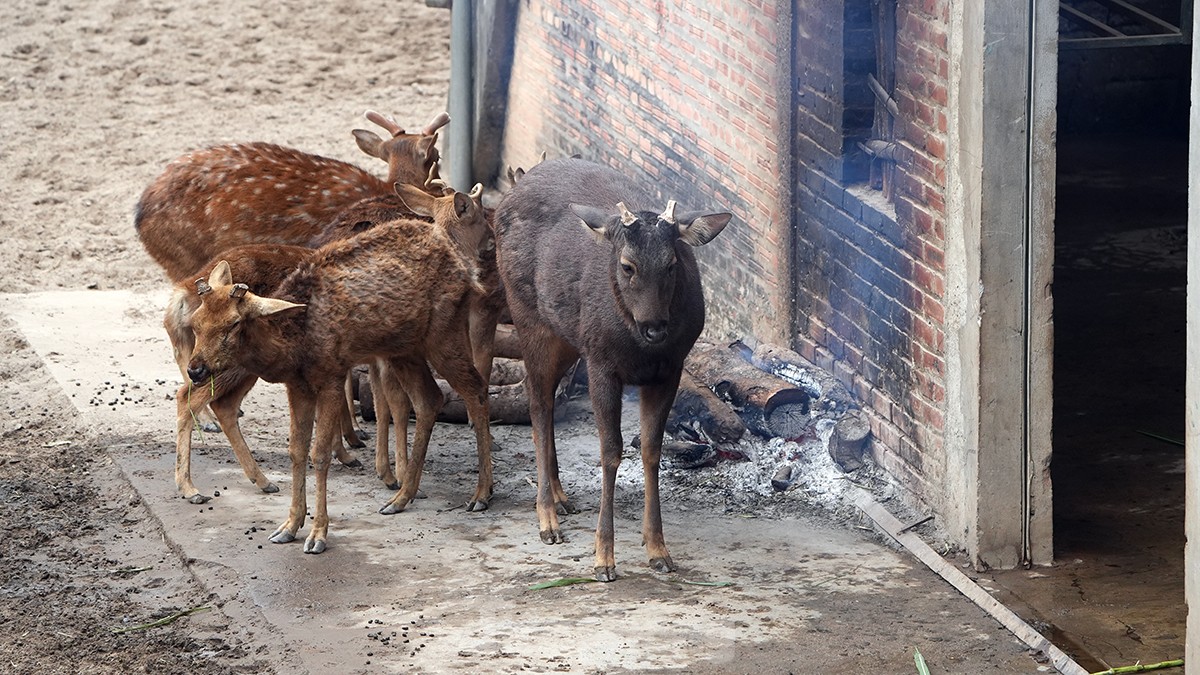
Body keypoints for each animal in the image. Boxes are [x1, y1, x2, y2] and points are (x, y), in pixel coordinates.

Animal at [186, 184, 492, 552]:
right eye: (196, 323)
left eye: (232, 324)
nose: (195, 369)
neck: (295, 345)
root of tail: (466, 269)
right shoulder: (297, 386)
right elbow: (296, 450)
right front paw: (288, 526)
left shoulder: (331, 375)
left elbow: (319, 453)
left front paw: (317, 533)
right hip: (404, 349)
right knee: (430, 399)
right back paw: (401, 498)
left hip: (443, 334)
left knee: (476, 388)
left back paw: (481, 494)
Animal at [494, 156, 729, 578]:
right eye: (627, 266)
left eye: (672, 264)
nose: (655, 326)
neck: (640, 350)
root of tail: (512, 187)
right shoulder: (602, 363)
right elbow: (610, 451)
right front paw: (604, 557)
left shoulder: (670, 369)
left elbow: (651, 449)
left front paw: (658, 549)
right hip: (528, 315)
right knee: (537, 403)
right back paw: (547, 516)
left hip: (569, 338)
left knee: (548, 400)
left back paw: (561, 495)